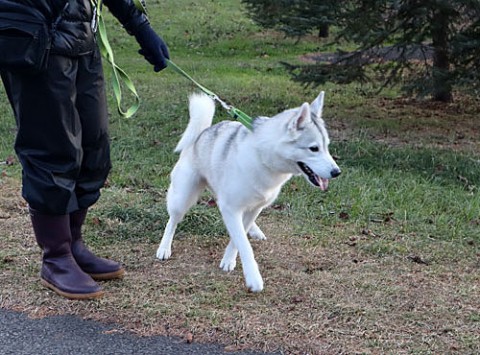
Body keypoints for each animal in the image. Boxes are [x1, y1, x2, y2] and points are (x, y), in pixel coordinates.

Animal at [156, 91, 340, 292]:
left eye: (327, 146)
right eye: (314, 148)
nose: (336, 172)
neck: (264, 157)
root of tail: (200, 134)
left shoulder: (254, 208)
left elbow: (239, 237)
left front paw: (229, 258)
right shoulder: (231, 208)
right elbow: (244, 244)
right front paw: (253, 277)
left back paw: (255, 231)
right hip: (182, 198)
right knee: (172, 221)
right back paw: (164, 247)